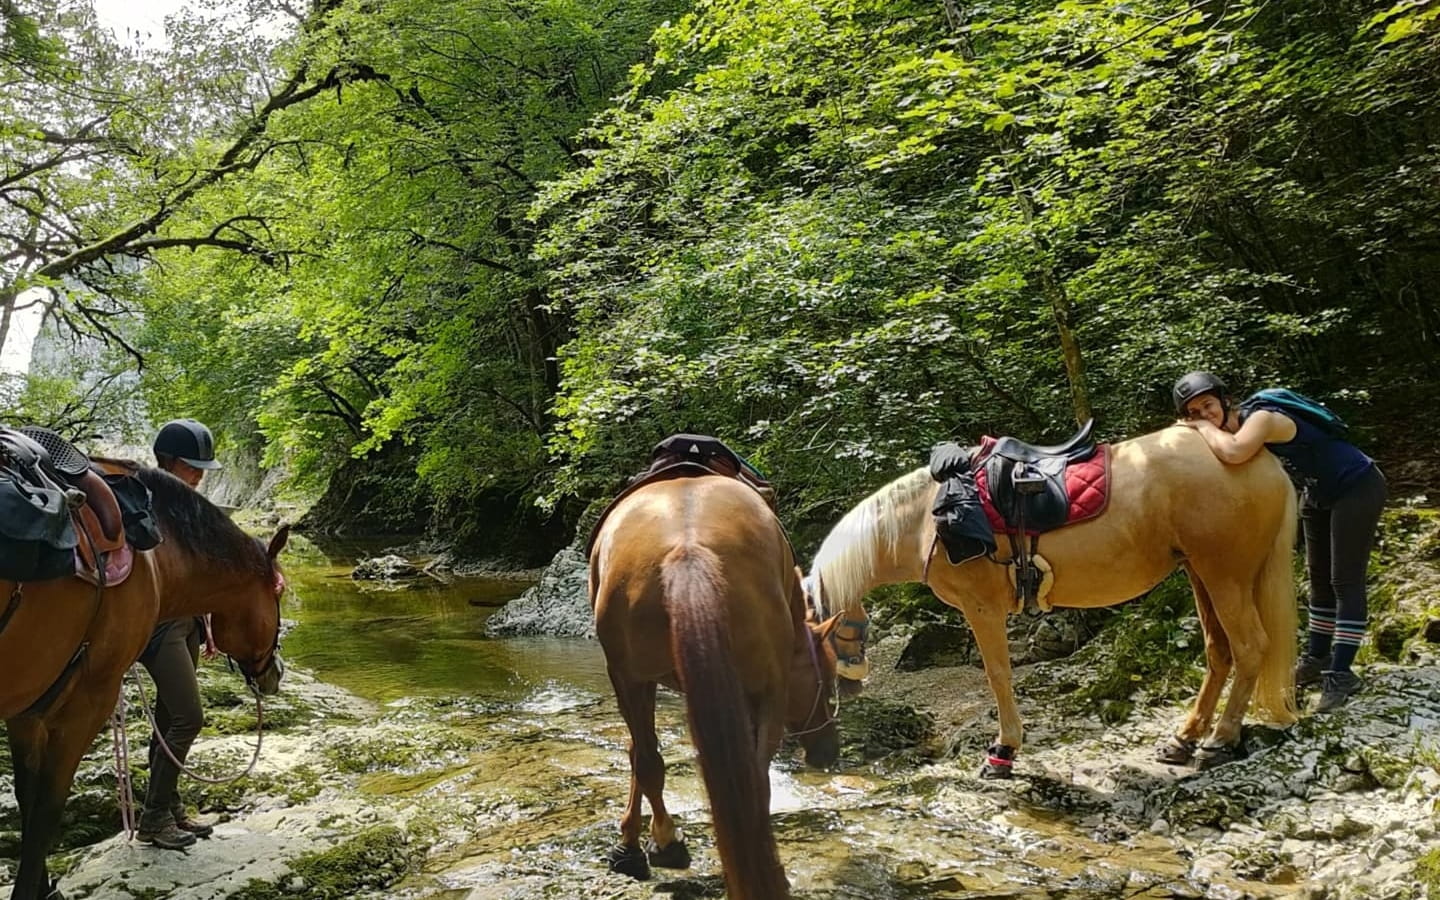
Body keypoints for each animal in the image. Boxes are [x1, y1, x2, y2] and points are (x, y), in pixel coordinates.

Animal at [0, 466, 286, 892]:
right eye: (279, 594)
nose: (275, 673)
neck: (155, 558)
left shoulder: (28, 712)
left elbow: (27, 798)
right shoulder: (87, 702)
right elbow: (47, 810)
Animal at [590, 475, 840, 892]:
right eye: (830, 674)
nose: (828, 751)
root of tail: (688, 548)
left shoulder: (632, 679)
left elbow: (637, 754)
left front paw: (629, 846)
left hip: (631, 677)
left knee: (649, 760)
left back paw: (666, 845)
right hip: (764, 690)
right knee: (753, 780)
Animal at [806, 423, 1301, 777]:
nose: (850, 687)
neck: (924, 522)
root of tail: (1262, 458)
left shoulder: (981, 608)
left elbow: (998, 675)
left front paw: (1003, 752)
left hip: (1226, 576)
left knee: (1250, 647)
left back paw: (1219, 741)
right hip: (1202, 576)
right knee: (1219, 652)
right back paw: (1184, 740)